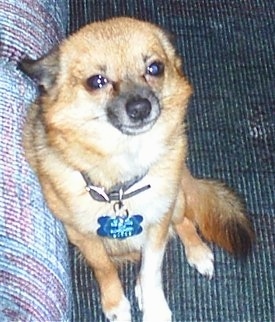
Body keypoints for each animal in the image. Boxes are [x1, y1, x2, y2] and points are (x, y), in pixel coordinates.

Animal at [20, 17, 256, 322]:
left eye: (155, 68)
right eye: (96, 81)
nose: (141, 107)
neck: (123, 174)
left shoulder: (157, 225)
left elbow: (151, 269)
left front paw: (154, 306)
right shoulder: (82, 236)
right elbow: (105, 268)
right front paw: (116, 304)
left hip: (176, 201)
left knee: (184, 222)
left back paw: (197, 252)